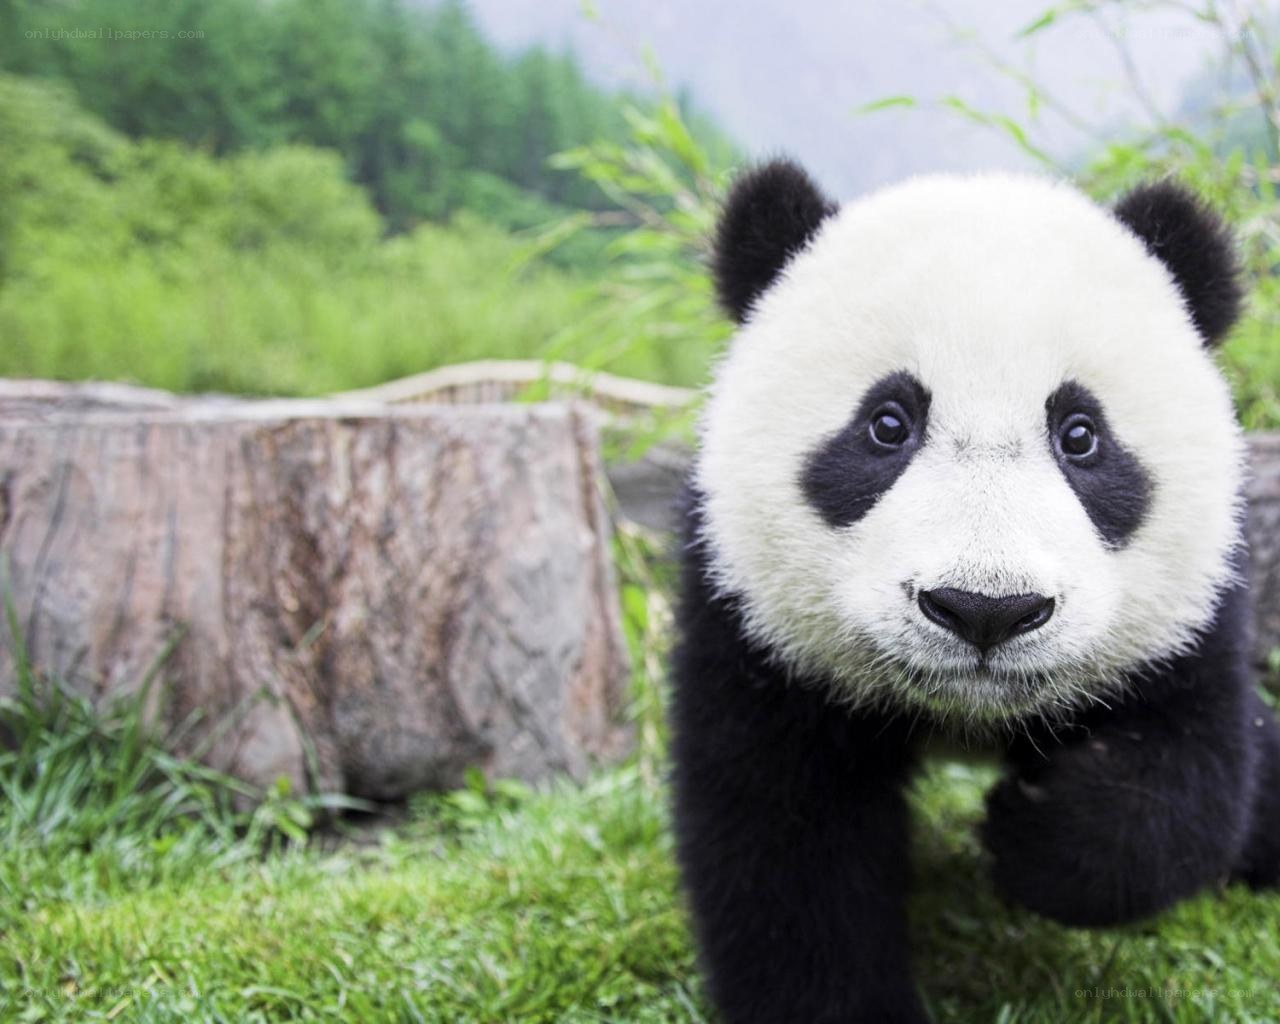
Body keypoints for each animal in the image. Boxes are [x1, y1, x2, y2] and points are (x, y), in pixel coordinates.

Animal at [670, 159, 1280, 1024]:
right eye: (887, 424)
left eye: (1081, 435)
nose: (986, 610)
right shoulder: (750, 622)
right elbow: (784, 843)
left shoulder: (1194, 614)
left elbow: (1186, 777)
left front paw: (1034, 830)